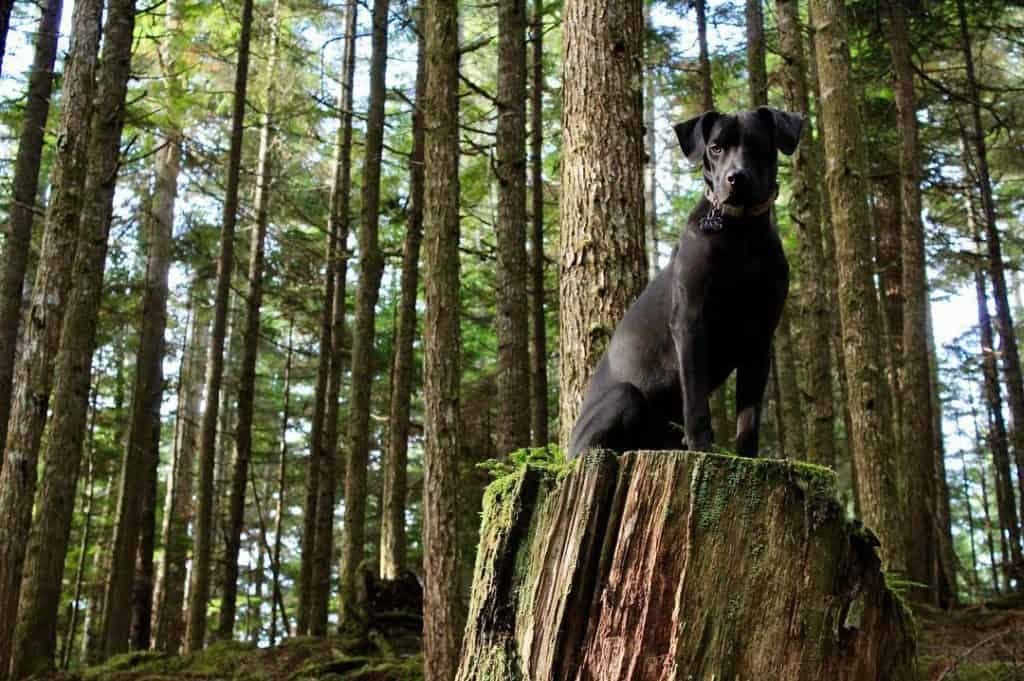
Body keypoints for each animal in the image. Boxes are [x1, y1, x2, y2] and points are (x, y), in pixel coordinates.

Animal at [569, 107, 798, 456]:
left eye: (758, 144)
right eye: (715, 147)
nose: (736, 178)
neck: (742, 233)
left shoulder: (760, 335)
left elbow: (749, 417)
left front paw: (750, 457)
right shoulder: (691, 322)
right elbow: (696, 401)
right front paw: (703, 447)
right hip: (624, 396)